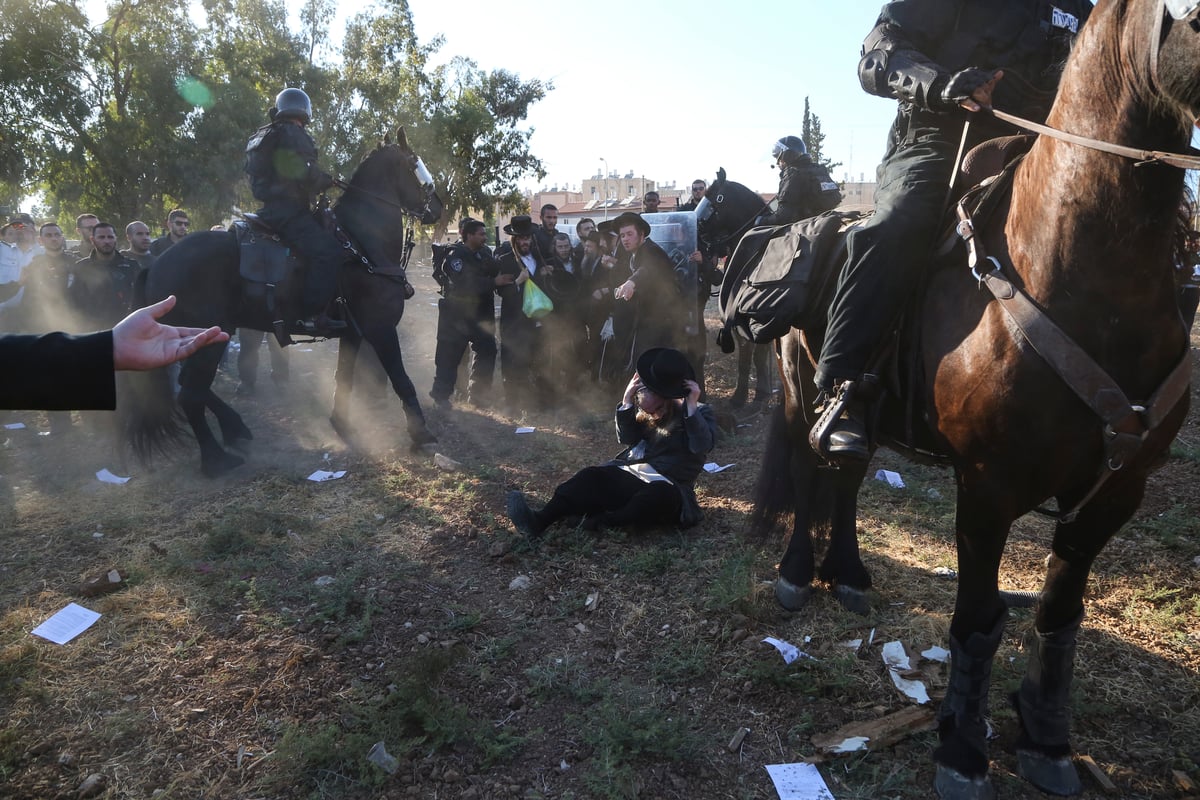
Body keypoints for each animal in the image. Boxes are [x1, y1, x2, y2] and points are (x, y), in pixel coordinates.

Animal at [129, 126, 446, 474]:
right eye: (415, 164)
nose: (438, 208)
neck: (361, 244)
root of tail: (154, 266)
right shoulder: (381, 329)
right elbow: (401, 379)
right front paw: (422, 434)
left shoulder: (353, 333)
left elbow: (343, 378)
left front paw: (341, 425)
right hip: (208, 341)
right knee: (190, 395)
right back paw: (216, 459)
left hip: (202, 340)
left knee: (191, 387)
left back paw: (235, 428)